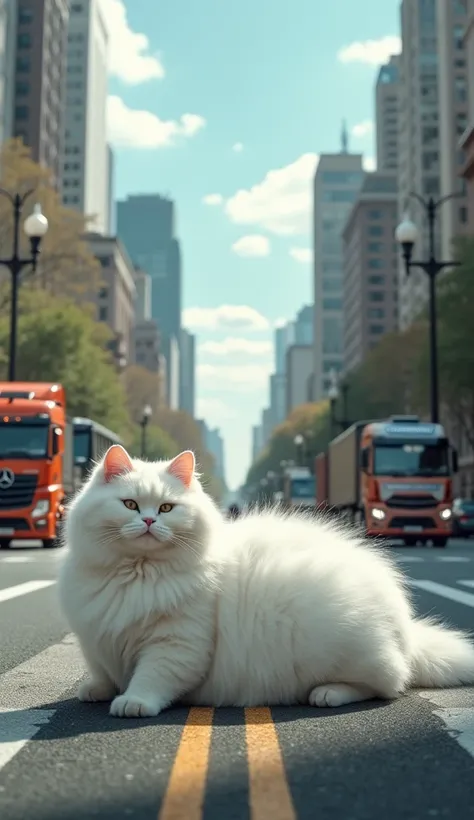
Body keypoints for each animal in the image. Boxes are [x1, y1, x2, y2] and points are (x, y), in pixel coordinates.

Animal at [58, 446, 474, 720]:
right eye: (129, 505)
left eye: (166, 508)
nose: (148, 522)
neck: (136, 573)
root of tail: (406, 633)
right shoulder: (96, 640)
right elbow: (102, 672)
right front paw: (96, 691)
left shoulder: (176, 644)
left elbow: (151, 678)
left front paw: (133, 703)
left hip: (348, 649)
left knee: (384, 685)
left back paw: (327, 694)